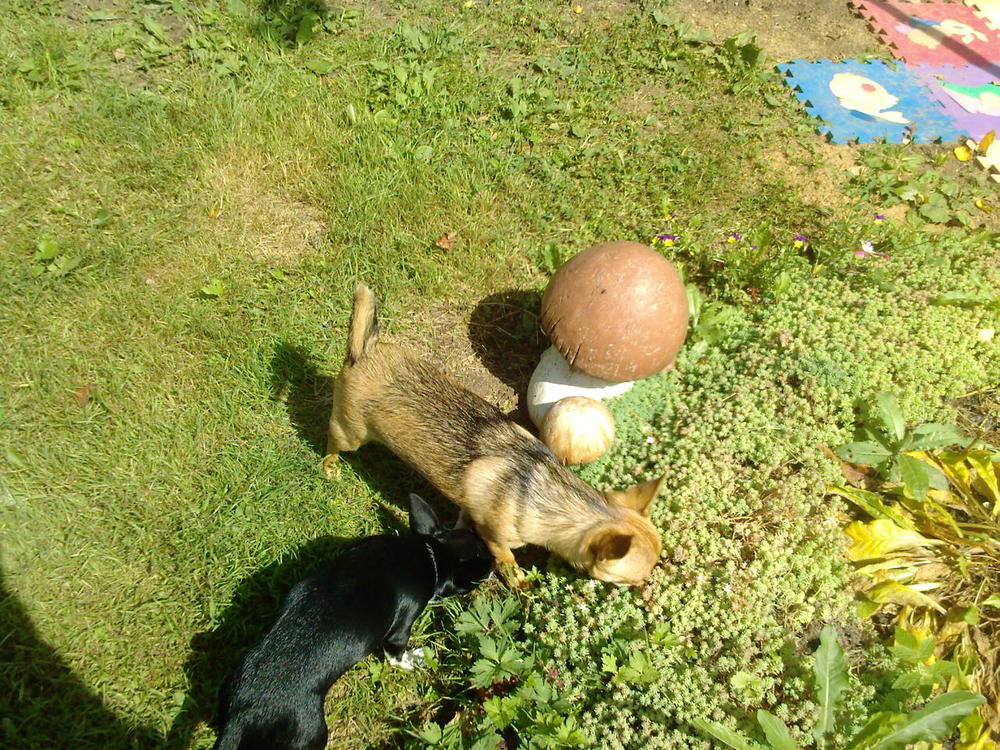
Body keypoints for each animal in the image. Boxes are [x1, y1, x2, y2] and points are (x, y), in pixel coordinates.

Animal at [212, 492, 493, 750]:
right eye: (482, 572)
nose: (495, 564)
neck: (430, 554)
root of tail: (243, 713)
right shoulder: (402, 624)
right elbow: (396, 655)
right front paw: (415, 660)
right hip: (312, 734)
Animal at [323, 283, 664, 586]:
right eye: (630, 581)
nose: (648, 586)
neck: (534, 490)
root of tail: (364, 351)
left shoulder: (469, 509)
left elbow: (462, 520)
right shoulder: (495, 538)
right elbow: (507, 560)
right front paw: (518, 582)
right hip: (351, 435)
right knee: (332, 439)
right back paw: (329, 467)